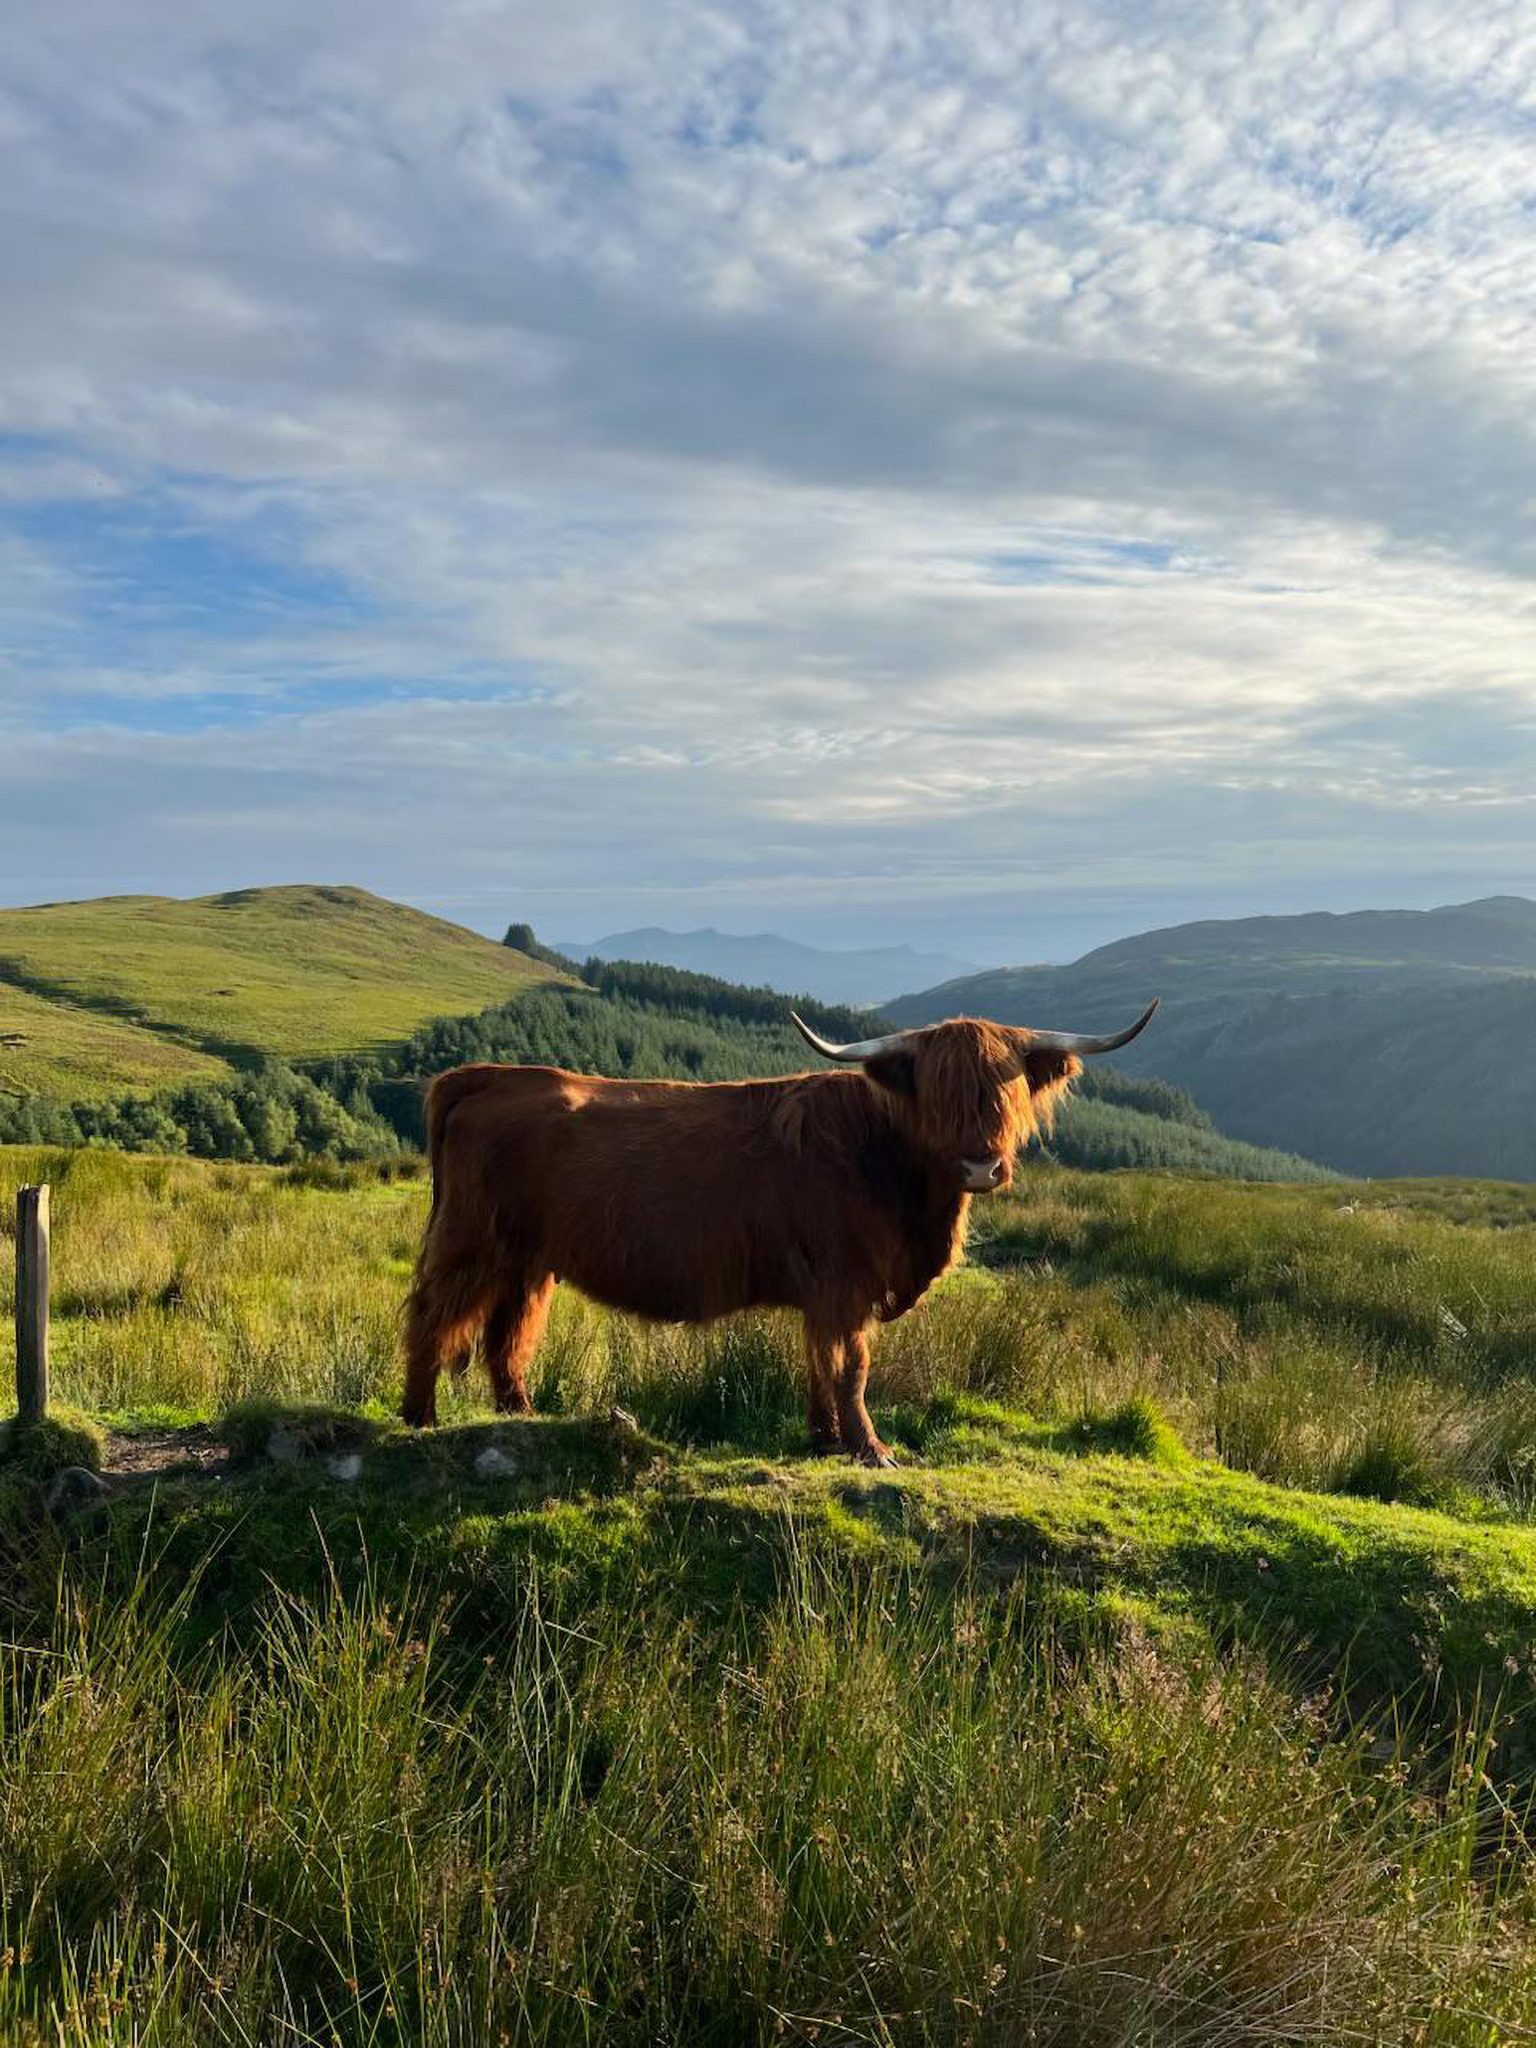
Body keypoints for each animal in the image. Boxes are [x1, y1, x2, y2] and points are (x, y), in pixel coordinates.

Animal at [401, 1000, 1157, 1464]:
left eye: (1005, 1089)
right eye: (938, 1092)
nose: (980, 1165)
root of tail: (482, 1078)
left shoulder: (827, 1291)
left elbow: (819, 1364)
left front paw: (824, 1441)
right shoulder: (844, 1280)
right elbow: (851, 1366)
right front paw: (872, 1451)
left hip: (528, 1259)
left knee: (509, 1334)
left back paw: (520, 1417)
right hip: (471, 1241)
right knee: (432, 1320)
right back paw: (419, 1419)